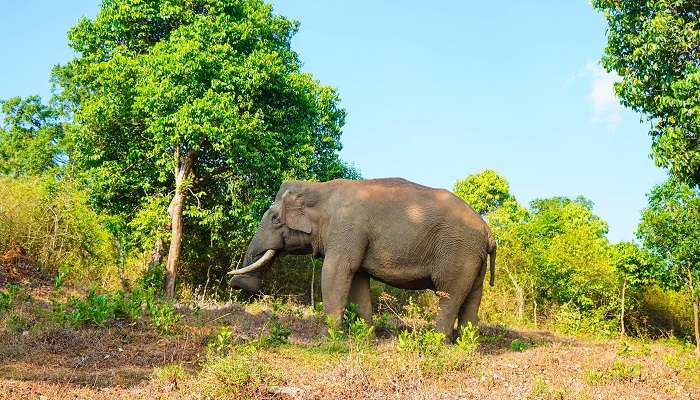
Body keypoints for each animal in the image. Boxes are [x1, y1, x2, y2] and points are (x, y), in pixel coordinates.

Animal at [227, 178, 494, 338]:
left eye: (274, 218)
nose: (237, 283)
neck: (321, 189)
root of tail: (488, 231)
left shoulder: (347, 228)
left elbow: (335, 271)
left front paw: (330, 336)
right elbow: (357, 279)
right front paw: (365, 334)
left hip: (458, 251)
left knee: (449, 294)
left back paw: (437, 341)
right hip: (473, 257)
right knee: (472, 296)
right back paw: (466, 341)